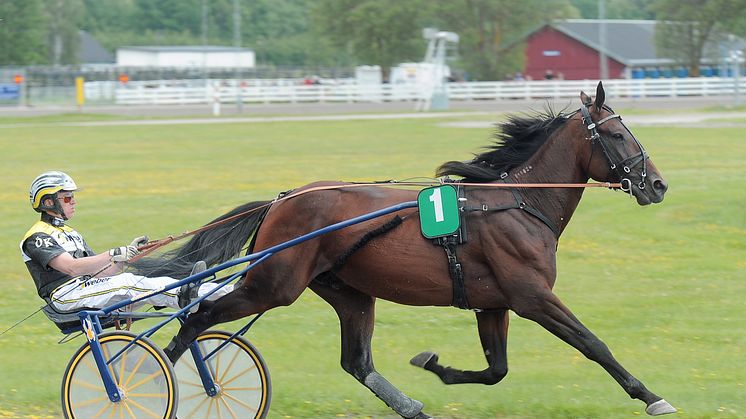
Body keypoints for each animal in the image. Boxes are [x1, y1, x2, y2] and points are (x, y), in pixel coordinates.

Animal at [134, 82, 676, 416]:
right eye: (617, 134)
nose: (657, 184)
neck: (519, 203)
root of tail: (282, 200)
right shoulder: (532, 296)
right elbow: (593, 344)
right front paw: (650, 395)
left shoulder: (493, 303)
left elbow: (496, 370)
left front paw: (434, 366)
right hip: (273, 284)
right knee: (196, 319)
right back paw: (158, 381)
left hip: (349, 291)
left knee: (357, 362)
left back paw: (410, 406)